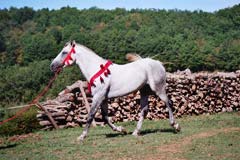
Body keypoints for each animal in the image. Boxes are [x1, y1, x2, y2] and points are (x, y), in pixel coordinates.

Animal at [51, 41, 181, 141]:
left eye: (64, 52)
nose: (52, 66)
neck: (97, 70)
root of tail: (159, 63)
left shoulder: (98, 97)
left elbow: (91, 115)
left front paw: (82, 136)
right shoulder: (103, 99)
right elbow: (105, 117)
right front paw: (121, 130)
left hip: (158, 89)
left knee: (168, 102)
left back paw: (175, 125)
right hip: (144, 91)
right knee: (144, 110)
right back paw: (135, 132)